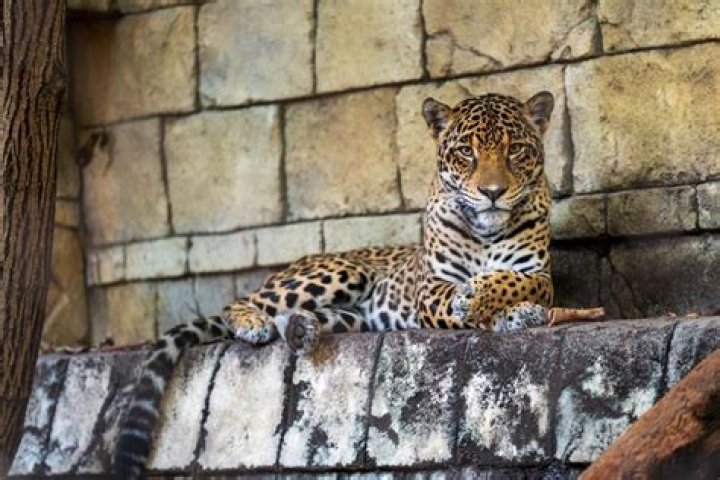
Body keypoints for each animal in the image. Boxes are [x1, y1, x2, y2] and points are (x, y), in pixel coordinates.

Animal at [115, 90, 555, 478]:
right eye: (466, 152)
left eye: (516, 149)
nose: (493, 192)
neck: (486, 233)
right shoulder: (431, 288)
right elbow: (463, 297)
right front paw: (476, 303)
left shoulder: (540, 277)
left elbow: (513, 283)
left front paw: (511, 311)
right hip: (341, 272)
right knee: (242, 302)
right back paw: (253, 323)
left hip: (354, 315)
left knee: (300, 318)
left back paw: (300, 328)